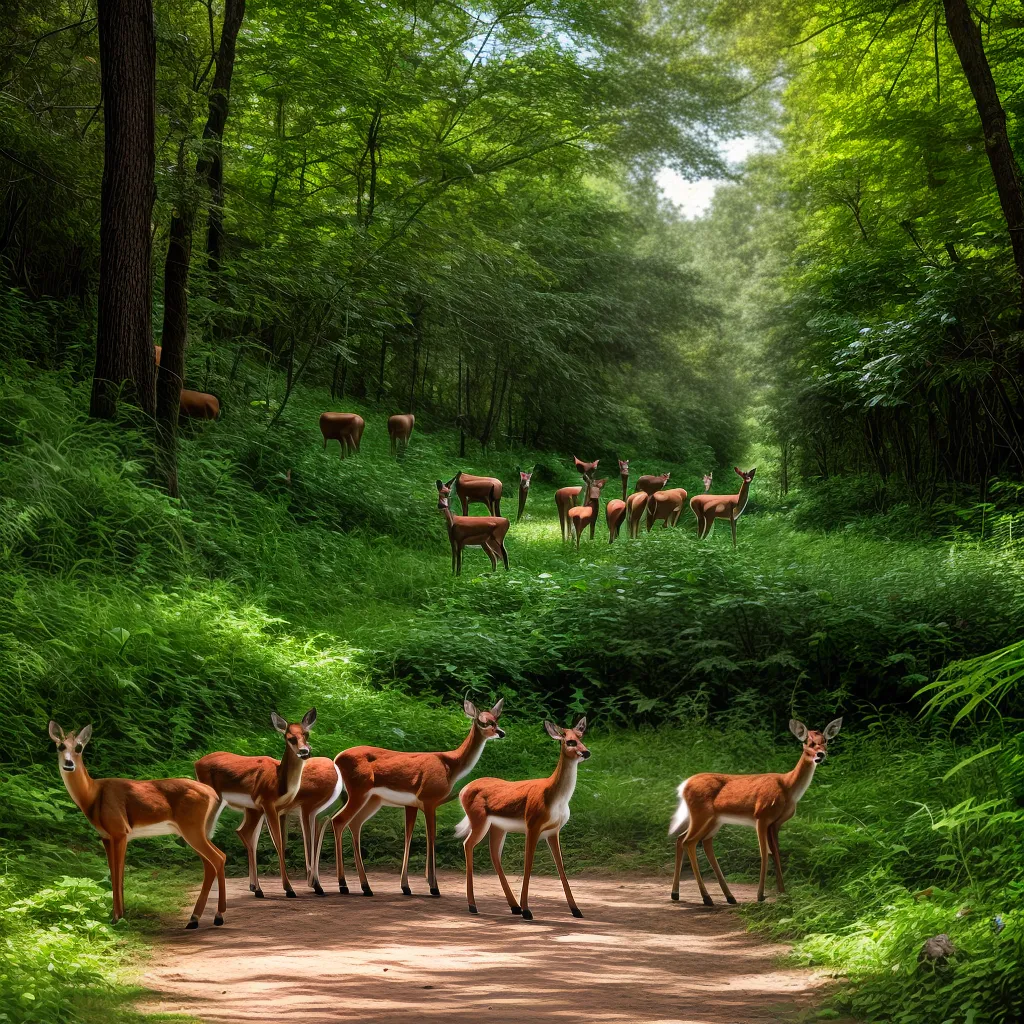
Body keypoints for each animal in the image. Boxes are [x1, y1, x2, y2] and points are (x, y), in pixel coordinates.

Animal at [48, 722, 227, 928]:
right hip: (195, 831)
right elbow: (115, 873)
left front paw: (117, 917)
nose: (69, 764)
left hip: (192, 828)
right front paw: (120, 914)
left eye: (79, 747)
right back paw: (194, 918)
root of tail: (212, 794)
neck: (92, 795)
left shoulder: (120, 831)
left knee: (218, 858)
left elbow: (117, 874)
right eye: (61, 746)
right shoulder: (106, 836)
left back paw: (218, 916)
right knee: (211, 862)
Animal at [195, 708, 318, 900]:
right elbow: (278, 843)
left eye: (306, 733)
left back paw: (256, 888)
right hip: (218, 801)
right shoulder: (268, 804)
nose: (304, 751)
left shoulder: (279, 810)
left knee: (241, 832)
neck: (279, 780)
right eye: (289, 737)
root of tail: (196, 763)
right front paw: (289, 889)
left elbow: (281, 843)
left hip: (250, 810)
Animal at [325, 699, 507, 898]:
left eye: (496, 719)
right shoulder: (429, 800)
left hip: (372, 800)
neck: (451, 764)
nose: (501, 733)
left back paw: (365, 887)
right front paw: (434, 887)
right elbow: (431, 836)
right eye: (483, 721)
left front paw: (407, 886)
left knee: (353, 823)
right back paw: (343, 885)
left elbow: (409, 836)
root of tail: (336, 759)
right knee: (338, 820)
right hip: (359, 792)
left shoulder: (411, 804)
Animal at [456, 717, 590, 920]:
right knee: (468, 844)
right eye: (570, 741)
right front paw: (528, 910)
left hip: (498, 827)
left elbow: (561, 866)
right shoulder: (532, 825)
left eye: (581, 737)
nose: (586, 752)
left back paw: (514, 906)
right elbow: (528, 864)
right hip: (479, 820)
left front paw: (576, 910)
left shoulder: (554, 831)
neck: (554, 796)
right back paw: (473, 906)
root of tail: (463, 790)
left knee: (494, 854)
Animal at [669, 718, 842, 906]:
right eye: (808, 742)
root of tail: (683, 785)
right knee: (689, 842)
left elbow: (776, 852)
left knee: (691, 841)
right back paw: (706, 898)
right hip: (701, 814)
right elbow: (765, 853)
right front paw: (761, 895)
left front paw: (783, 892)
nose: (821, 755)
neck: (788, 787)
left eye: (825, 741)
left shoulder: (776, 822)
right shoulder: (761, 816)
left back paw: (710, 896)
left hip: (714, 820)